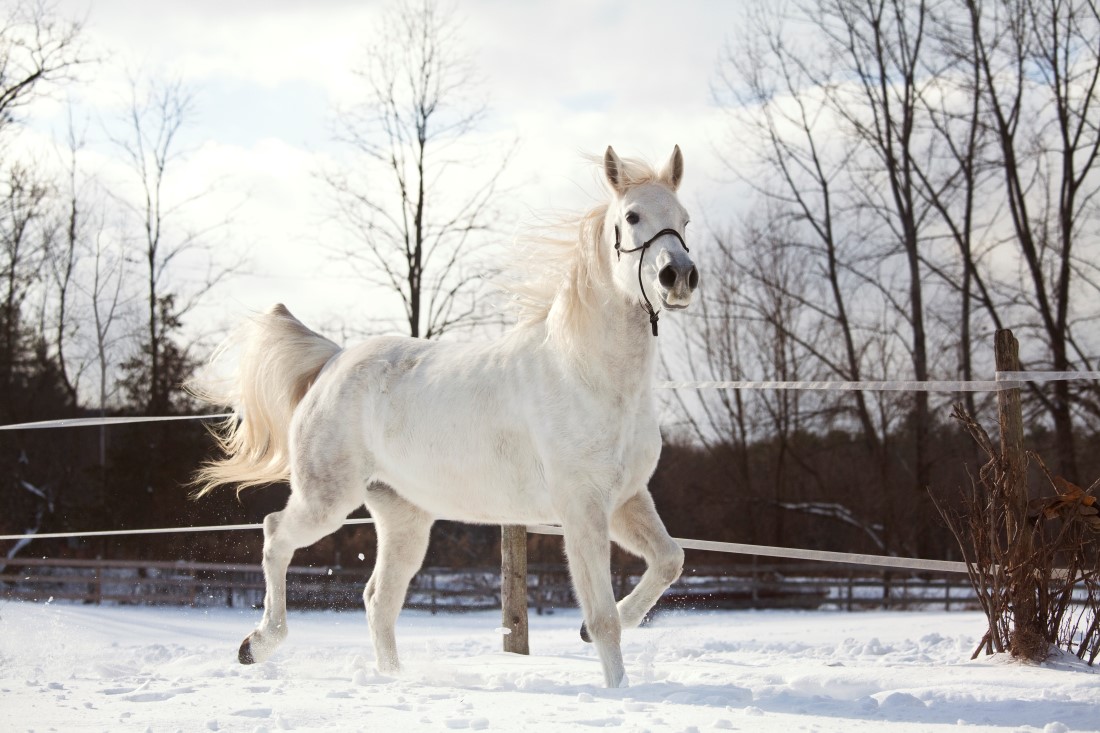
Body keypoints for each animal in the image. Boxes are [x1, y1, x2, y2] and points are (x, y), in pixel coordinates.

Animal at [191, 144, 695, 686]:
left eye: (684, 219)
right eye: (632, 216)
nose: (679, 277)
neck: (587, 374)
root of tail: (332, 361)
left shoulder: (625, 500)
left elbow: (670, 559)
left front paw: (594, 634)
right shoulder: (581, 509)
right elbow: (603, 618)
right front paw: (617, 686)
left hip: (404, 518)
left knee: (377, 600)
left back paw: (392, 679)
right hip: (326, 500)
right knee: (274, 535)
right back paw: (256, 645)